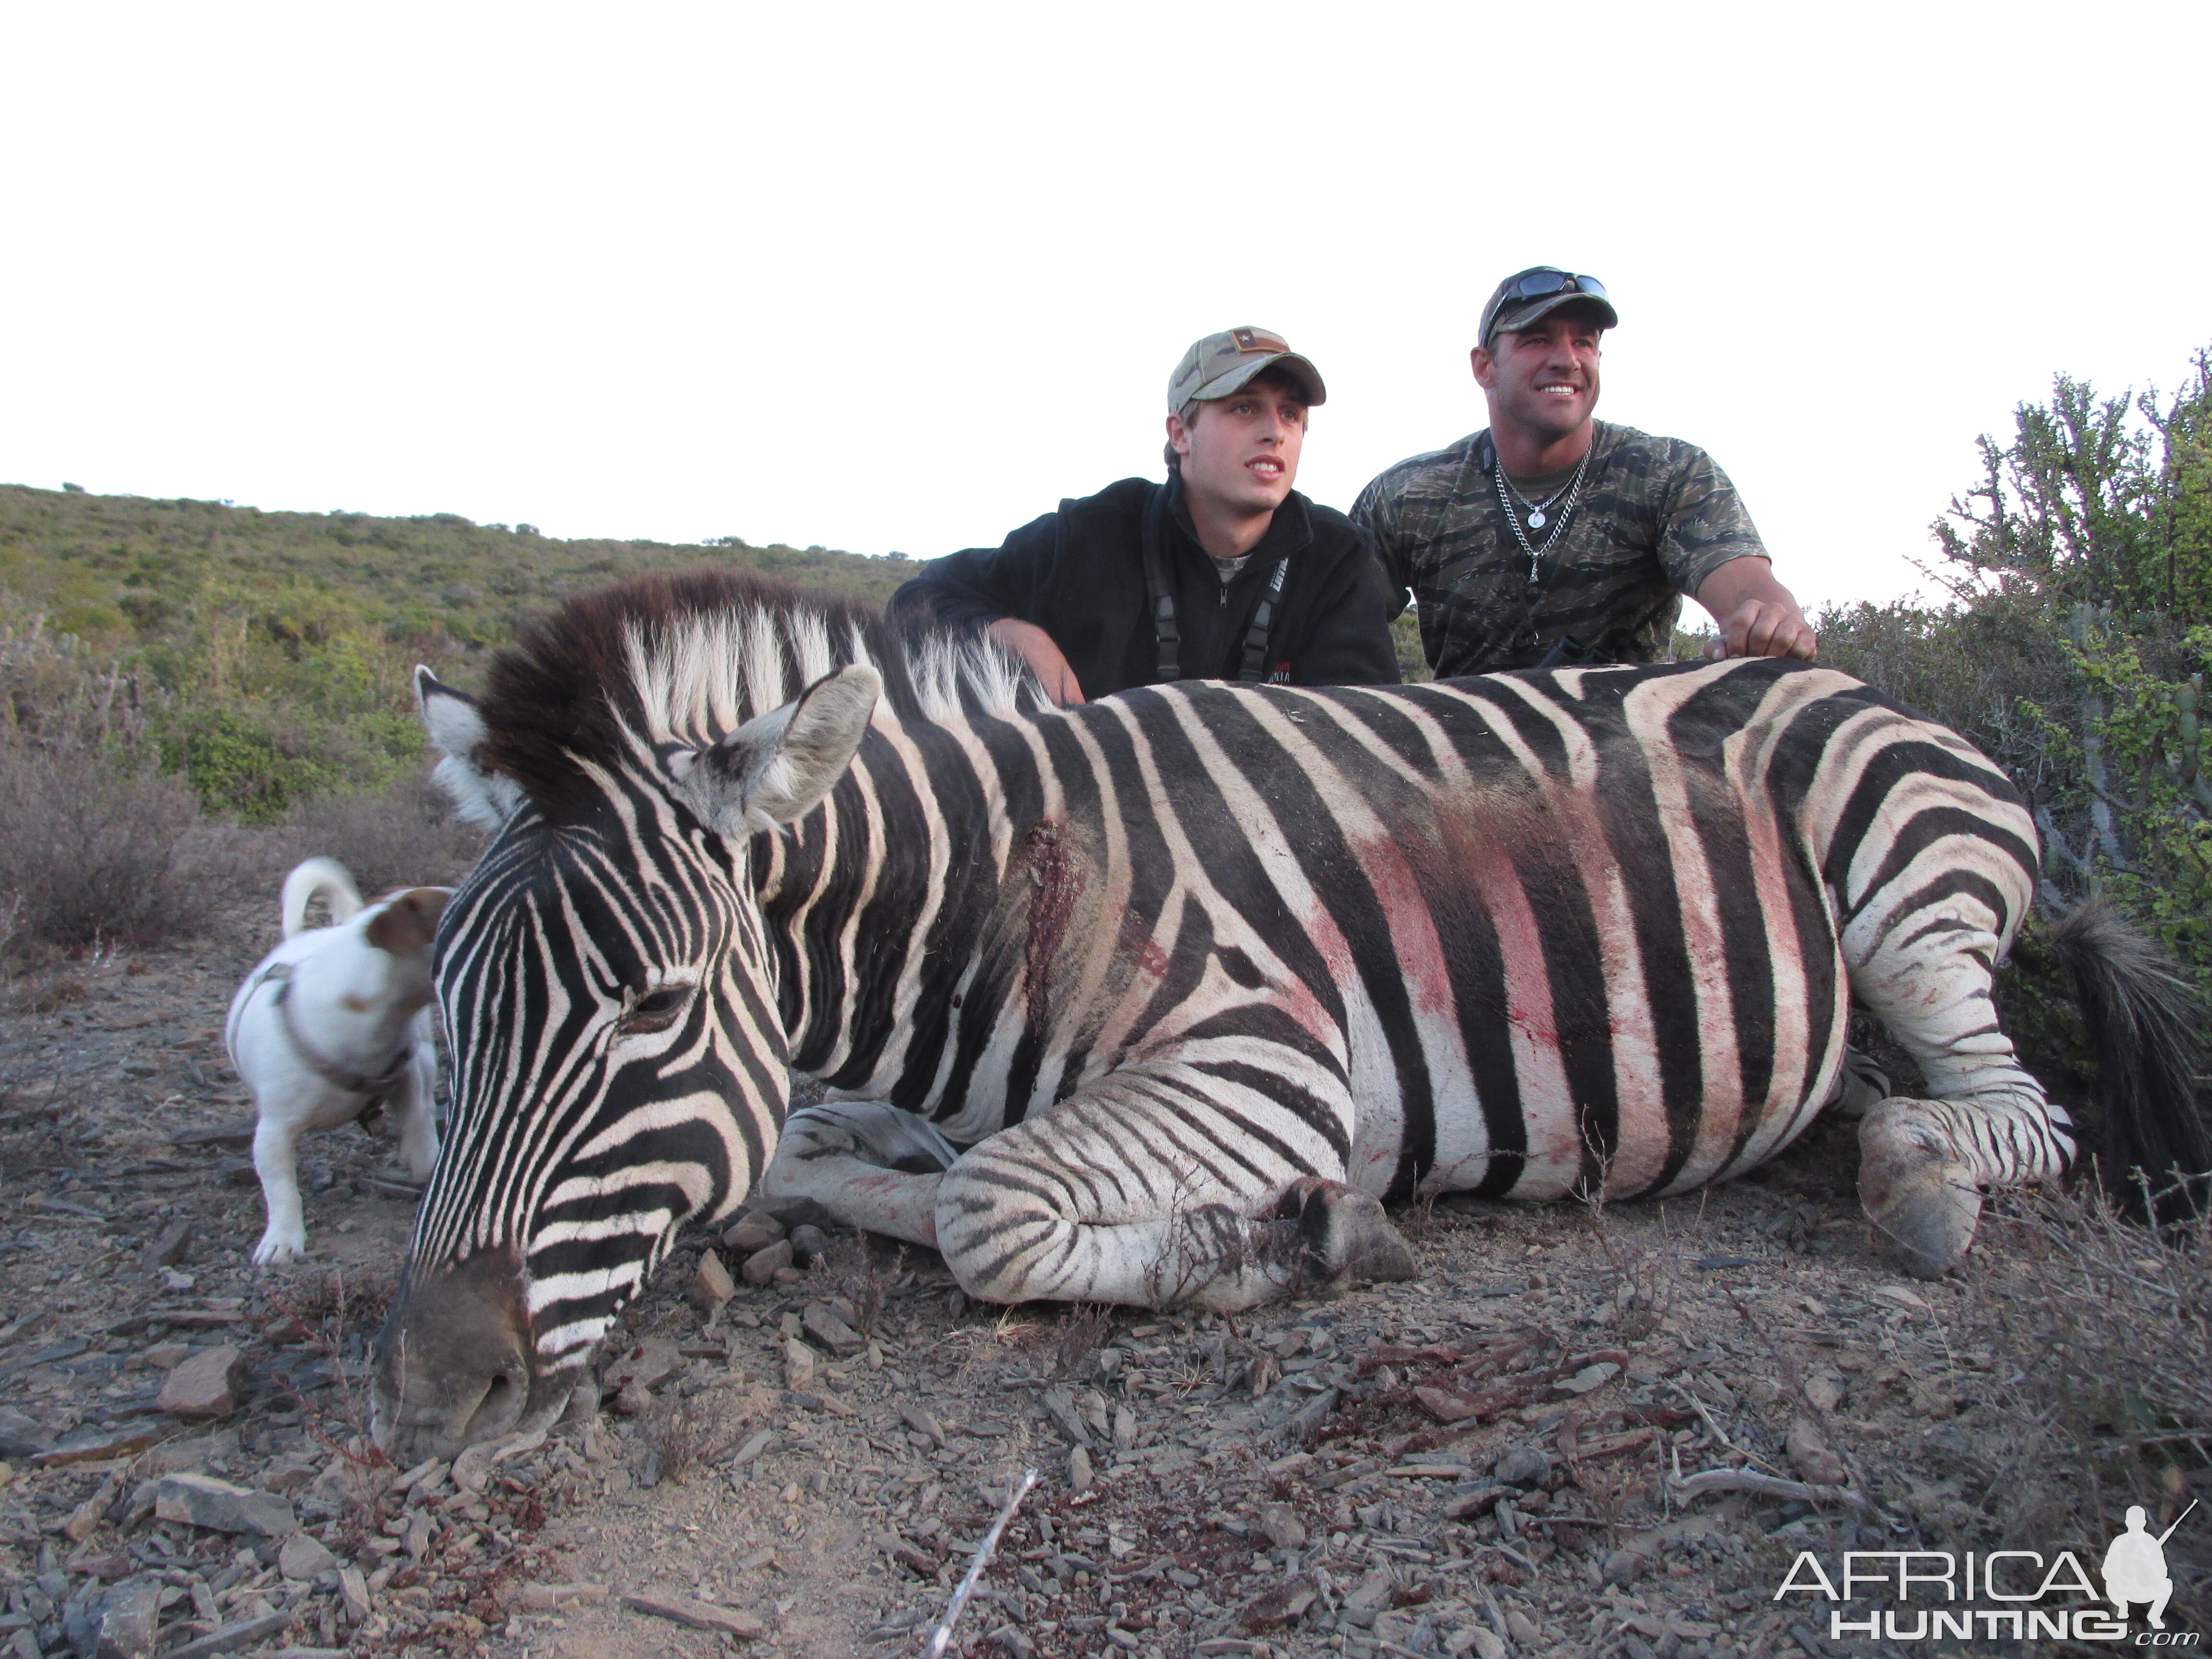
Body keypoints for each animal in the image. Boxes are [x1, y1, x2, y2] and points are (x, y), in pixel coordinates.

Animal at [227, 863, 451, 1265]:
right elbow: (281, 1188)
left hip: (424, 1056)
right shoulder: (273, 1133)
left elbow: (420, 1126)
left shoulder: (409, 1073)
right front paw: (282, 1238)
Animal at [372, 575, 2203, 1468]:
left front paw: (1282, 1239)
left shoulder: (1269, 1057)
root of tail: (1855, 680)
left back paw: (1915, 1172)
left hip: (1909, 903)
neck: (1002, 893)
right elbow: (814, 1152)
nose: (435, 1390)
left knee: (2009, 1108)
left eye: (653, 1012)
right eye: (448, 1014)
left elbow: (985, 1214)